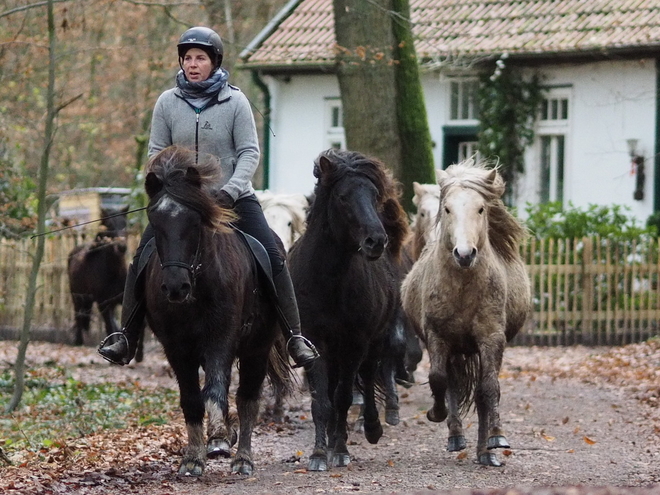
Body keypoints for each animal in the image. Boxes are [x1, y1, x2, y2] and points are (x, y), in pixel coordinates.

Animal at [67, 207, 138, 350]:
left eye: (124, 223)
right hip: (77, 297)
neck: (113, 272)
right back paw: (78, 341)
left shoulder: (119, 300)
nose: (122, 246)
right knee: (78, 316)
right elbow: (110, 327)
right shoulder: (103, 303)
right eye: (109, 225)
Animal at [142, 144, 292, 476]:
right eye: (155, 222)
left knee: (247, 398)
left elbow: (215, 392)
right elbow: (192, 399)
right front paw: (193, 458)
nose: (175, 287)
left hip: (257, 348)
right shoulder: (176, 348)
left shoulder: (221, 339)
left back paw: (243, 458)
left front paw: (221, 438)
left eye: (194, 221)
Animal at [288, 148, 408, 472]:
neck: (329, 281)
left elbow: (343, 397)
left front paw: (340, 450)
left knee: (366, 377)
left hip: (373, 341)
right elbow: (322, 399)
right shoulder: (315, 341)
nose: (376, 240)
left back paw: (371, 427)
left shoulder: (355, 342)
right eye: (343, 197)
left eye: (374, 194)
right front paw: (319, 454)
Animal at [398, 160, 532, 468]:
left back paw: (486, 453)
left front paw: (496, 438)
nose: (464, 254)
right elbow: (439, 379)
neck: (462, 287)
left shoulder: (491, 338)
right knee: (451, 383)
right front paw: (437, 414)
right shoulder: (438, 337)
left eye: (481, 208)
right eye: (447, 209)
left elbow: (488, 389)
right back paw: (456, 437)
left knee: (480, 393)